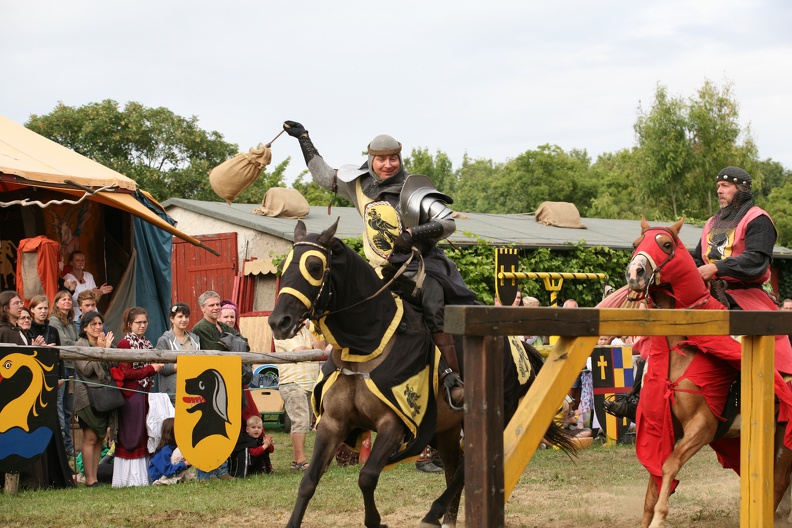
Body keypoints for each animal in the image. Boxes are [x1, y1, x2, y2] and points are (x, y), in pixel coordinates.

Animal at [270, 220, 572, 528]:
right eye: (283, 267)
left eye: (315, 266)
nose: (278, 322)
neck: (366, 346)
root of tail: (518, 345)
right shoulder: (333, 423)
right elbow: (309, 481)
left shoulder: (394, 423)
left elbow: (367, 476)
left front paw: (376, 521)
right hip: (447, 428)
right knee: (454, 465)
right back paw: (447, 519)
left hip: (497, 415)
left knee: (465, 468)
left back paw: (433, 514)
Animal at [624, 217, 792, 524]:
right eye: (635, 244)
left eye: (667, 245)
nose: (635, 274)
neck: (682, 347)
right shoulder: (665, 425)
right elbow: (652, 484)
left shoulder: (703, 426)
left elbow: (669, 466)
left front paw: (659, 518)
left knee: (778, 482)